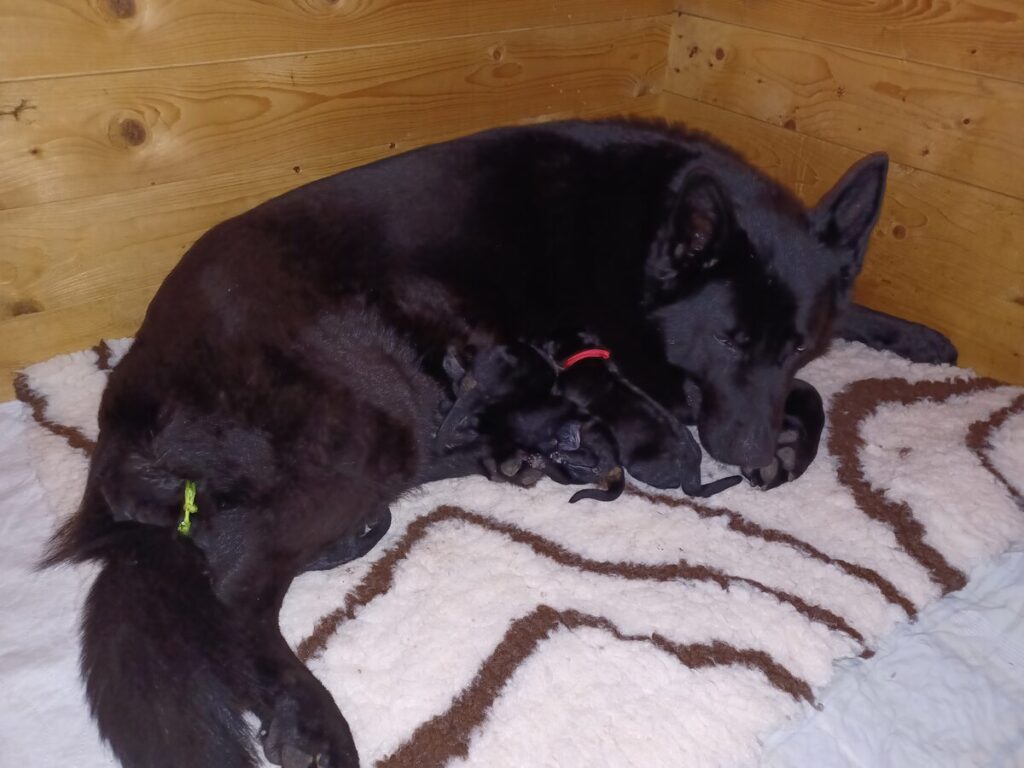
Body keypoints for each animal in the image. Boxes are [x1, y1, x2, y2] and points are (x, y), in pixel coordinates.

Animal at [47, 118, 956, 768]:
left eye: (795, 339)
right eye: (731, 341)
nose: (736, 449)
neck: (642, 231)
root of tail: (122, 417)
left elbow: (839, 331)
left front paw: (911, 336)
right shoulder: (649, 368)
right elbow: (800, 394)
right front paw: (793, 437)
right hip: (373, 414)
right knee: (235, 583)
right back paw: (309, 712)